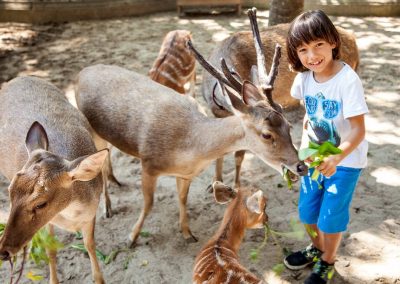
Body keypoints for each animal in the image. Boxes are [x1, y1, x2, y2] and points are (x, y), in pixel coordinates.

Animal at [0, 76, 108, 282]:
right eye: (10, 191)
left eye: (41, 203)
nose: (4, 251)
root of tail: (17, 78)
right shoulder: (48, 223)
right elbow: (50, 250)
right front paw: (53, 280)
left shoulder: (90, 214)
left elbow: (90, 245)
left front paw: (99, 279)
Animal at [74, 6, 306, 244]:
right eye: (266, 134)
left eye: (288, 125)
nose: (301, 167)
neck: (188, 149)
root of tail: (82, 73)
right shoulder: (148, 163)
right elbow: (149, 204)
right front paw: (132, 237)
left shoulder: (185, 174)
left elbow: (183, 199)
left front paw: (187, 233)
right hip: (92, 131)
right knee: (99, 167)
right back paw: (108, 208)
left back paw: (115, 183)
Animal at [202, 8, 360, 190]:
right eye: (267, 134)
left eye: (288, 126)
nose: (301, 167)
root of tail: (354, 40)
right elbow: (218, 152)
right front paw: (214, 183)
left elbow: (239, 155)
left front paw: (236, 186)